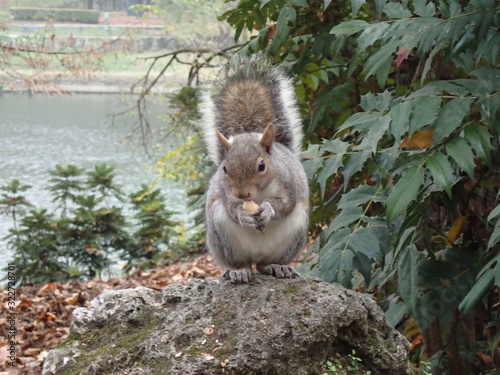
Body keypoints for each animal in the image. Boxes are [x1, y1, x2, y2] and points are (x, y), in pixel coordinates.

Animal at [199, 55, 308, 284]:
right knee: (244, 263)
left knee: (264, 264)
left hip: (294, 235)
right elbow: (231, 208)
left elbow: (286, 203)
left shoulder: (289, 183)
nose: (242, 194)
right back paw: (239, 270)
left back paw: (277, 266)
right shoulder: (225, 192)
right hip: (223, 240)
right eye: (225, 168)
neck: (258, 193)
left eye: (261, 165)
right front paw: (242, 214)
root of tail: (257, 255)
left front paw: (268, 208)